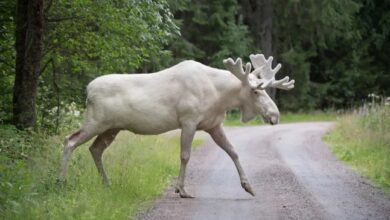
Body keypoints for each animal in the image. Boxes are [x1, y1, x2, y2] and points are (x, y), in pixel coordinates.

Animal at [58, 53, 294, 198]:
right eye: (255, 91)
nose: (275, 115)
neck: (220, 96)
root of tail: (88, 90)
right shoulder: (188, 120)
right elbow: (185, 155)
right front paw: (181, 190)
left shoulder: (213, 125)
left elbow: (233, 152)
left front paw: (248, 186)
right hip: (96, 122)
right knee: (70, 140)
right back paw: (61, 181)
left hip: (111, 128)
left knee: (95, 149)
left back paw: (106, 183)